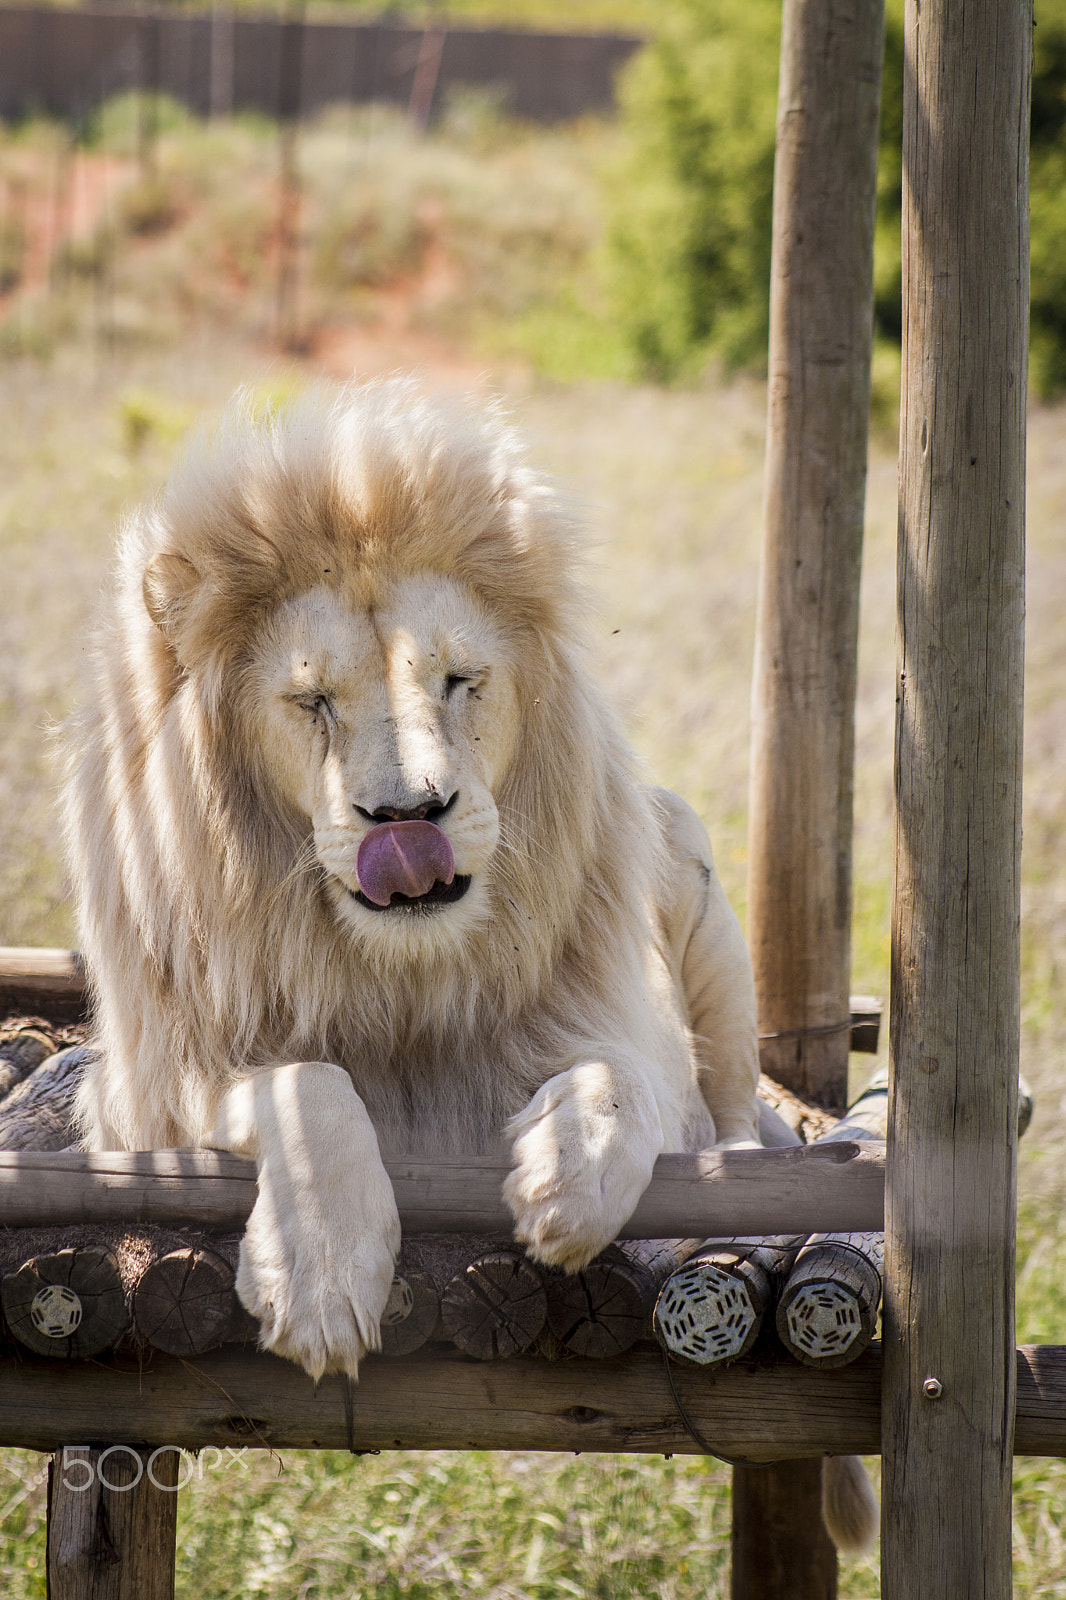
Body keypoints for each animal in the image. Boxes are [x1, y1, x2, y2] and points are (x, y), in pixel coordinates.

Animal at [63, 376, 875, 1550]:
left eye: (459, 681)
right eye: (311, 701)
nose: (411, 818)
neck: (397, 974)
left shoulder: (617, 1025)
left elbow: (623, 1078)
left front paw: (569, 1178)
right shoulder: (147, 1097)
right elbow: (307, 1083)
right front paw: (320, 1275)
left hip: (696, 881)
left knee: (732, 1106)